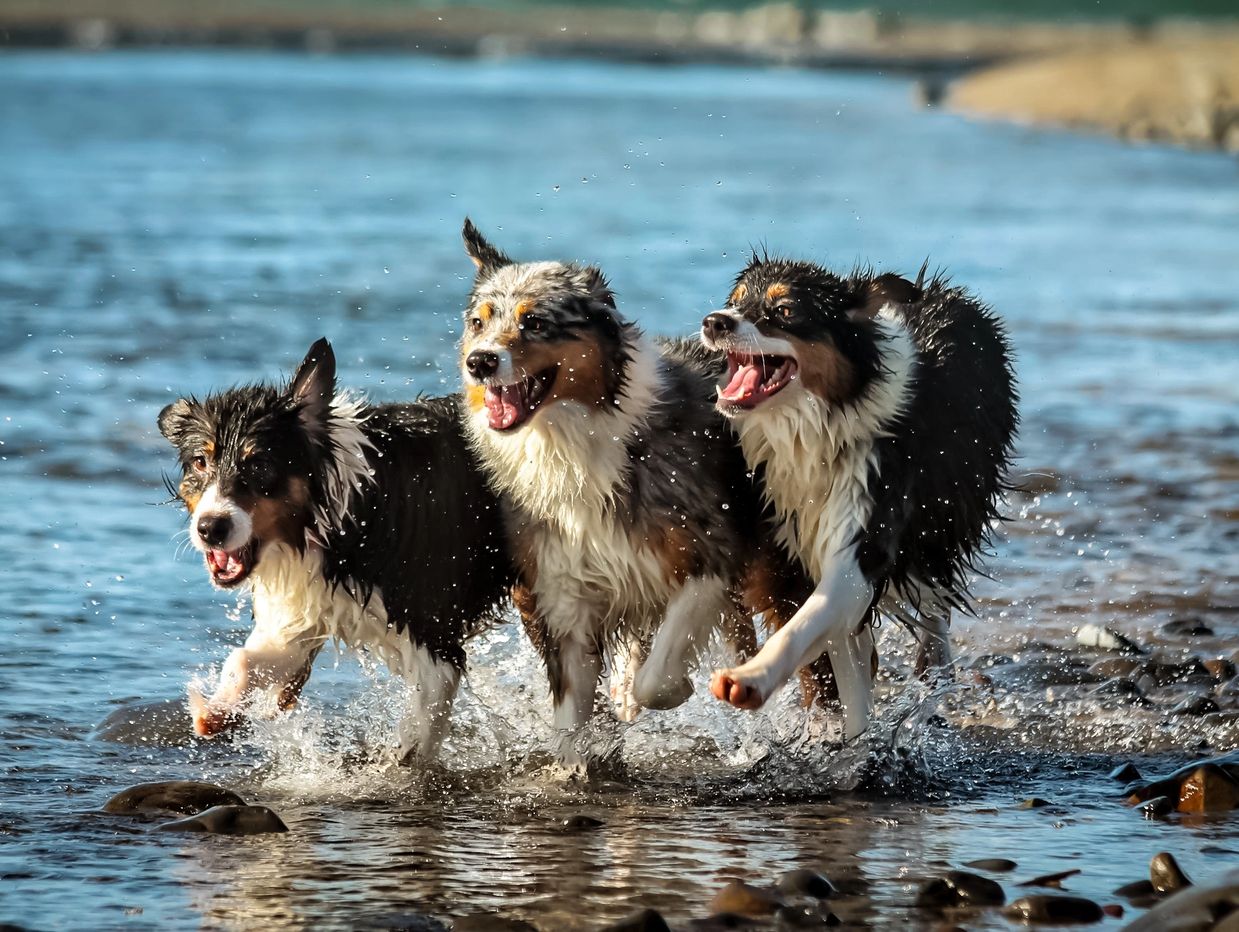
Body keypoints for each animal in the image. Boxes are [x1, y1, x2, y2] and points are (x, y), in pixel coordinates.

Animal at [159, 339, 512, 758]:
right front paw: (217, 711)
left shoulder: (435, 638)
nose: (211, 528)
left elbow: (417, 735)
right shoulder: (308, 605)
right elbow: (245, 659)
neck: (346, 515)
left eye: (259, 464)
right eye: (200, 461)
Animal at [698, 259, 1015, 738]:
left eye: (785, 310)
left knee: (934, 607)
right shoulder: (792, 548)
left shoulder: (865, 532)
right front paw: (845, 736)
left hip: (939, 530)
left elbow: (808, 621)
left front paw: (751, 677)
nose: (715, 321)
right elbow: (835, 664)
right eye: (734, 301)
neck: (821, 426)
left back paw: (933, 668)